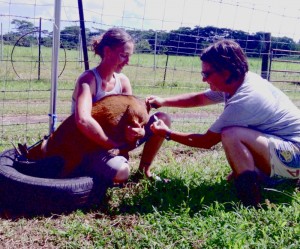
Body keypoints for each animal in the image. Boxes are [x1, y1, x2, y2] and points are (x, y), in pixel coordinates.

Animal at [18, 94, 150, 178]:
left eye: (28, 158)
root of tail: (144, 106)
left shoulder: (74, 156)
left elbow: (64, 172)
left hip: (133, 116)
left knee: (131, 141)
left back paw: (113, 151)